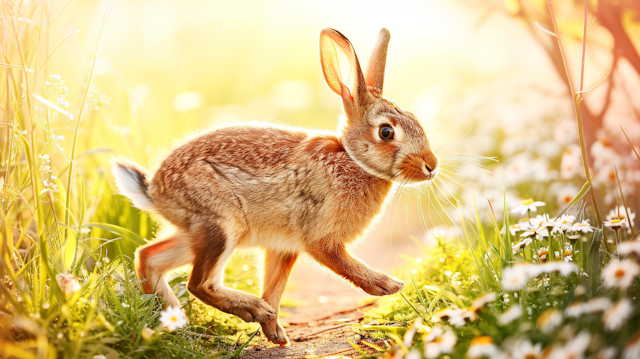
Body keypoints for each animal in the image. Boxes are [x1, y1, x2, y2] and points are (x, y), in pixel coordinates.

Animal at [112, 26, 438, 344]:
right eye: (386, 132)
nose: (432, 166)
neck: (352, 159)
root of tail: (154, 190)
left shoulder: (284, 247)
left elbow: (275, 287)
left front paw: (275, 334)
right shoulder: (319, 238)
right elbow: (343, 263)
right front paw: (389, 285)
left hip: (195, 231)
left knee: (149, 257)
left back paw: (176, 322)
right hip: (223, 223)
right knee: (200, 283)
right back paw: (248, 309)